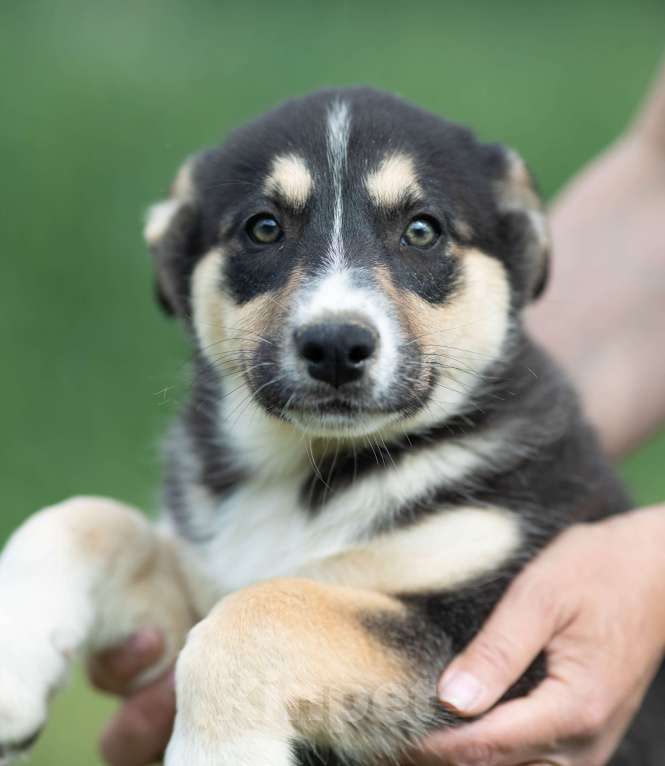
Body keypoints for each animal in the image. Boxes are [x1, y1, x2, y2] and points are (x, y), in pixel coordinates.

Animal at [0, 87, 660, 764]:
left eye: (421, 230)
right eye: (264, 227)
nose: (337, 345)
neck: (307, 472)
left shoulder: (488, 635)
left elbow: (263, 611)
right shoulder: (196, 585)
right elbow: (86, 519)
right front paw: (14, 676)